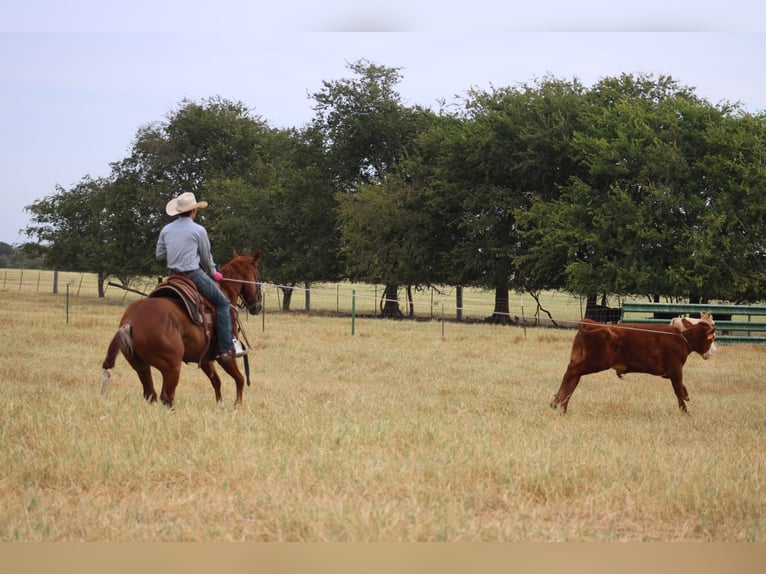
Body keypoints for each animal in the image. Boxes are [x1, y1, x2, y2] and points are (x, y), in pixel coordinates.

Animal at [100, 251, 263, 408]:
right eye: (257, 276)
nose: (258, 306)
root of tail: (131, 321)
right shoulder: (225, 355)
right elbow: (240, 378)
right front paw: (237, 405)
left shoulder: (204, 358)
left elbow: (216, 380)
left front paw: (220, 405)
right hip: (172, 367)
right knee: (166, 396)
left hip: (142, 366)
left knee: (151, 394)